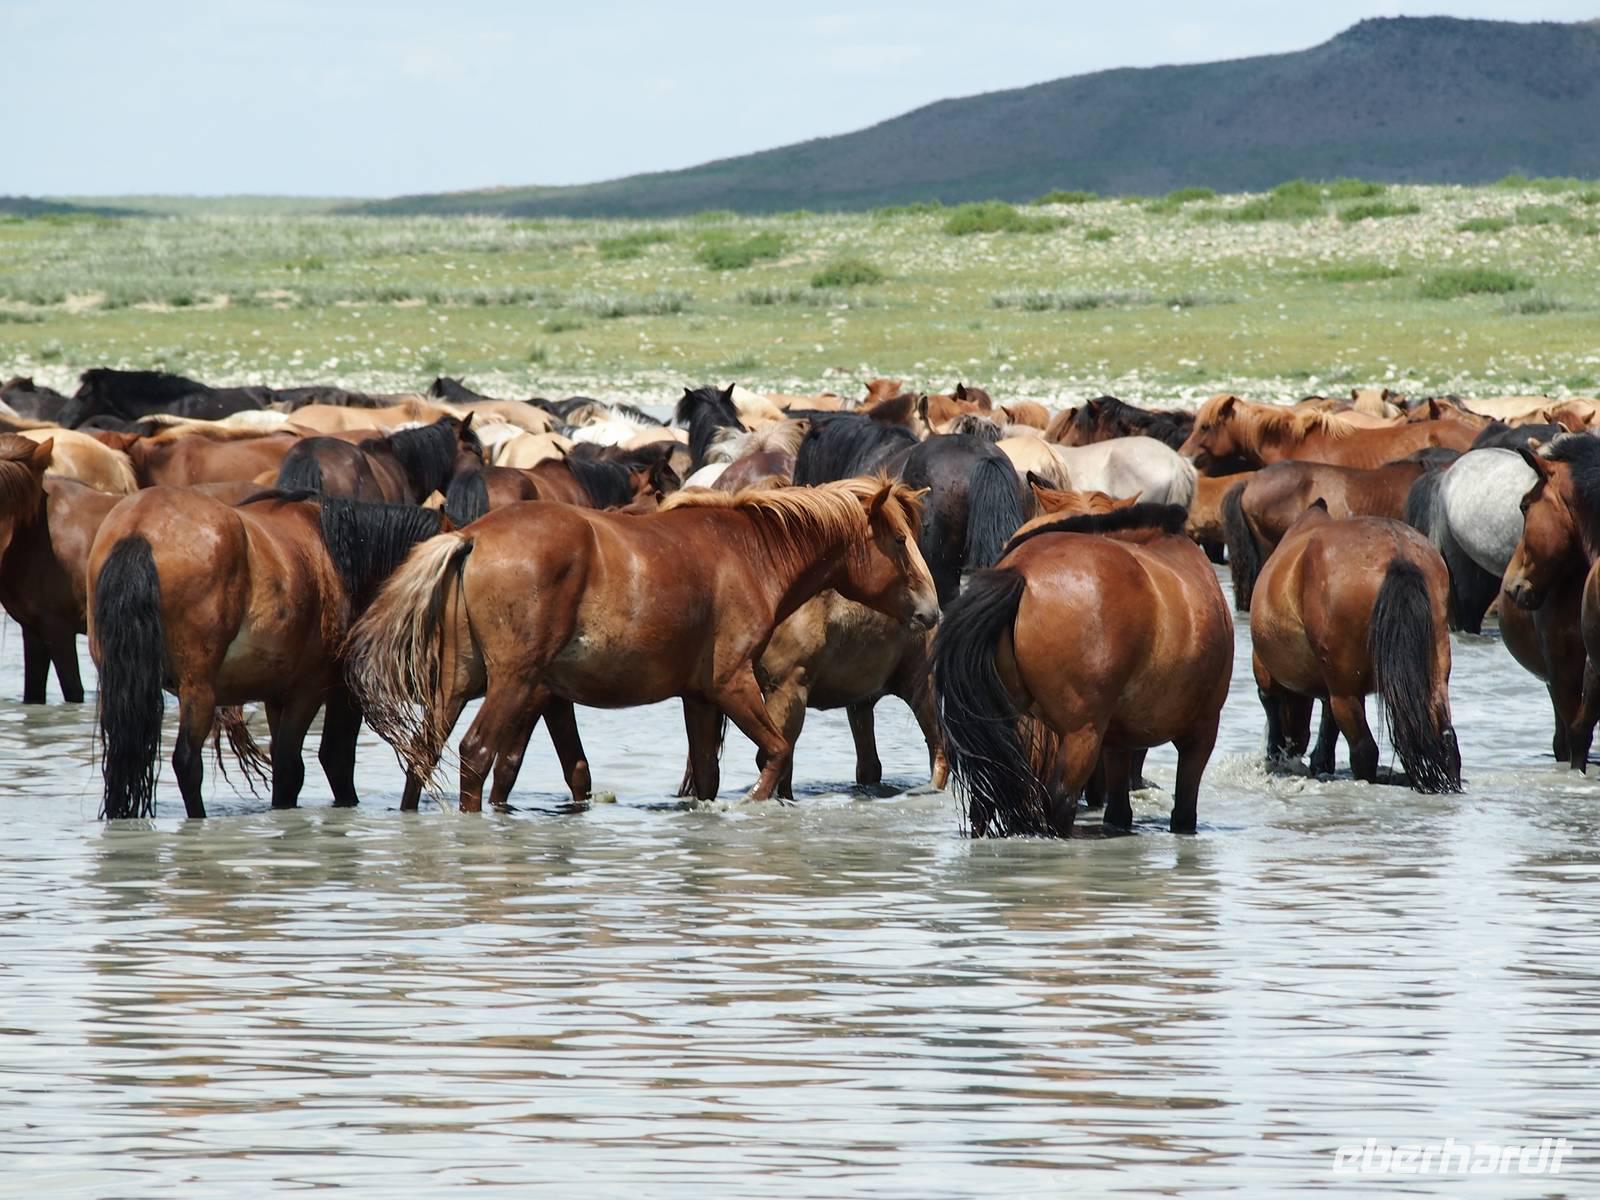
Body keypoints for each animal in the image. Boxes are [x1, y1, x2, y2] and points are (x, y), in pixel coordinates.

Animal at [89, 490, 446, 818]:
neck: (337, 558)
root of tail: (138, 531)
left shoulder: (277, 696)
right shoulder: (318, 689)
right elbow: (310, 764)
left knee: (123, 752)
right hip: (199, 690)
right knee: (187, 762)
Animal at [346, 477, 939, 811]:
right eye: (897, 540)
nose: (932, 611)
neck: (748, 551)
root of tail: (471, 536)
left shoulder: (699, 696)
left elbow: (707, 777)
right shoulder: (733, 682)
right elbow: (774, 753)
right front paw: (754, 806)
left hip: (457, 685)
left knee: (422, 754)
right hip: (511, 684)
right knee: (476, 754)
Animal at [933, 503, 1232, 837]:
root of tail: (1019, 572)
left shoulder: (1117, 740)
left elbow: (1118, 811)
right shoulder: (1202, 731)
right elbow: (1183, 813)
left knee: (984, 800)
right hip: (1082, 734)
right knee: (1060, 799)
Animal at [1250, 506, 1460, 792]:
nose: (1292, 750)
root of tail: (1399, 554)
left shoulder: (1265, 670)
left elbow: (1270, 701)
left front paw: (1276, 753)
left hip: (1346, 692)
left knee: (1364, 749)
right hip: (1434, 677)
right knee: (1447, 738)